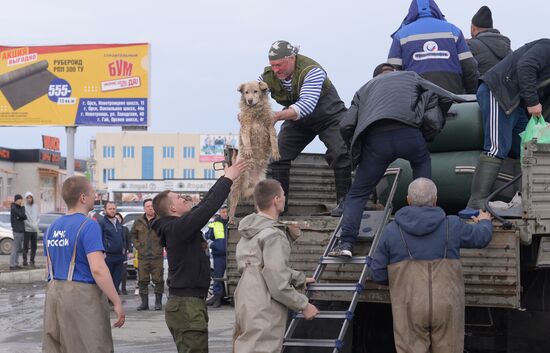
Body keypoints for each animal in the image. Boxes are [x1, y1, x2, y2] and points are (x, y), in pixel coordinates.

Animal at [229, 81, 280, 221]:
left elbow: (274, 139)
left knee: (260, 204)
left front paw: (276, 152)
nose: (250, 100)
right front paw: (248, 150)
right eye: (246, 92)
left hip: (259, 187)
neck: (255, 111)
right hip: (239, 181)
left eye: (255, 91)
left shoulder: (270, 126)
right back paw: (231, 219)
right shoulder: (245, 126)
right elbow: (246, 139)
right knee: (234, 202)